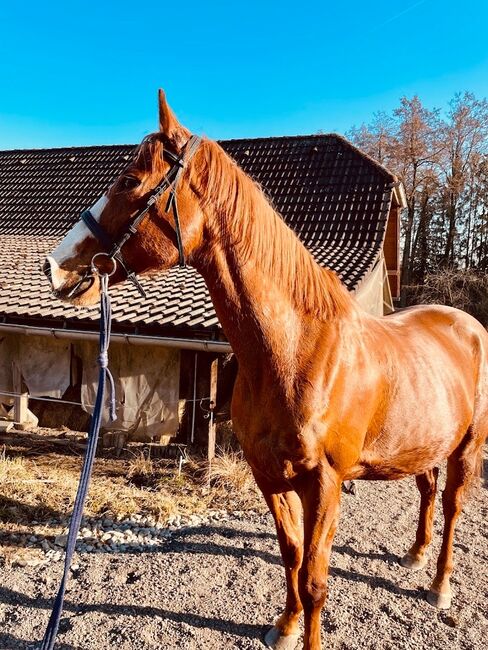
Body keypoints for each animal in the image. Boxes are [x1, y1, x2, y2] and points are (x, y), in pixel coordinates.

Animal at [43, 91, 488, 650]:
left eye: (128, 180)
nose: (55, 267)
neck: (296, 355)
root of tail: (466, 323)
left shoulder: (324, 484)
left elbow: (316, 579)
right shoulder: (270, 476)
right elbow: (292, 556)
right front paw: (286, 627)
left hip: (466, 447)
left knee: (452, 505)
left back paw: (440, 585)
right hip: (421, 442)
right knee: (428, 491)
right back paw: (415, 555)